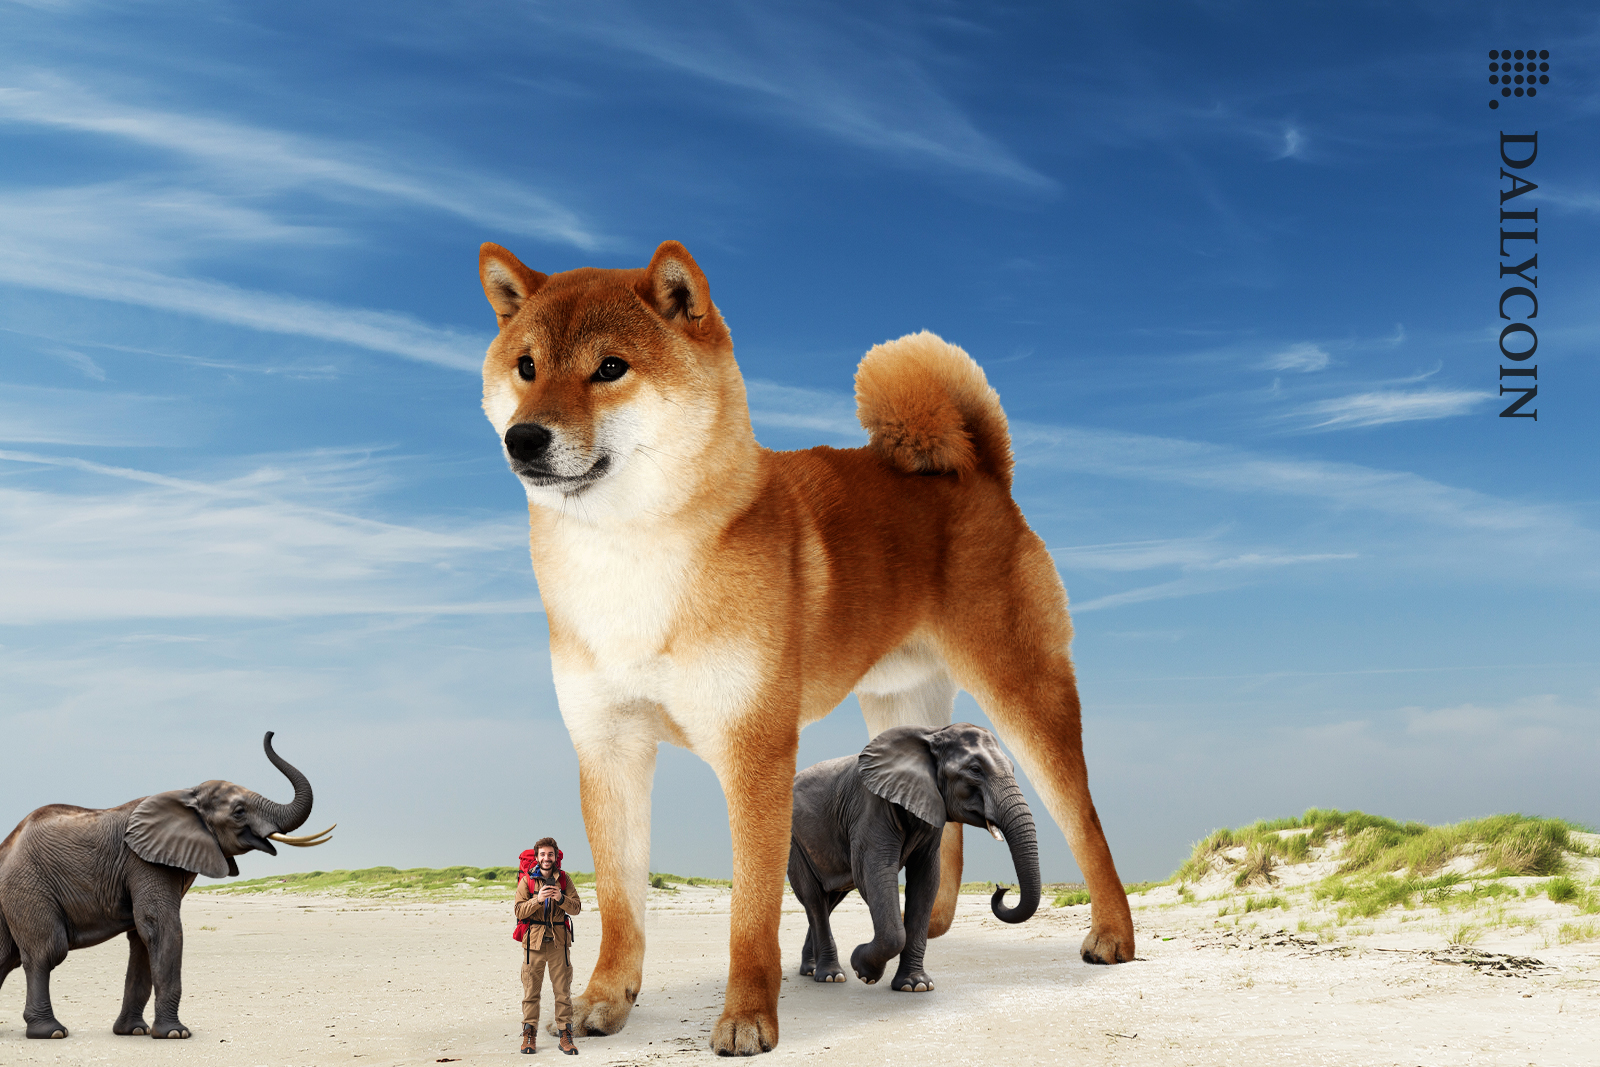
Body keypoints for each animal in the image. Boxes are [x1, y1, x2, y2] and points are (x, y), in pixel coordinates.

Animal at [0, 731, 333, 1040]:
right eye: (239, 812)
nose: (270, 733)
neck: (187, 794)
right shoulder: (144, 861)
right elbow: (161, 926)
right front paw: (175, 1034)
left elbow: (142, 939)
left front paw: (134, 1032)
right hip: (27, 884)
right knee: (46, 951)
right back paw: (51, 1032)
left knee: (6, 954)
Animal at [787, 723, 1040, 993]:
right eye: (975, 770)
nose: (1002, 888)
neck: (932, 733)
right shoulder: (871, 808)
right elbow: (873, 873)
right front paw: (863, 970)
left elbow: (925, 881)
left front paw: (915, 985)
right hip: (795, 842)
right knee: (814, 899)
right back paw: (831, 976)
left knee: (828, 901)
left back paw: (812, 970)